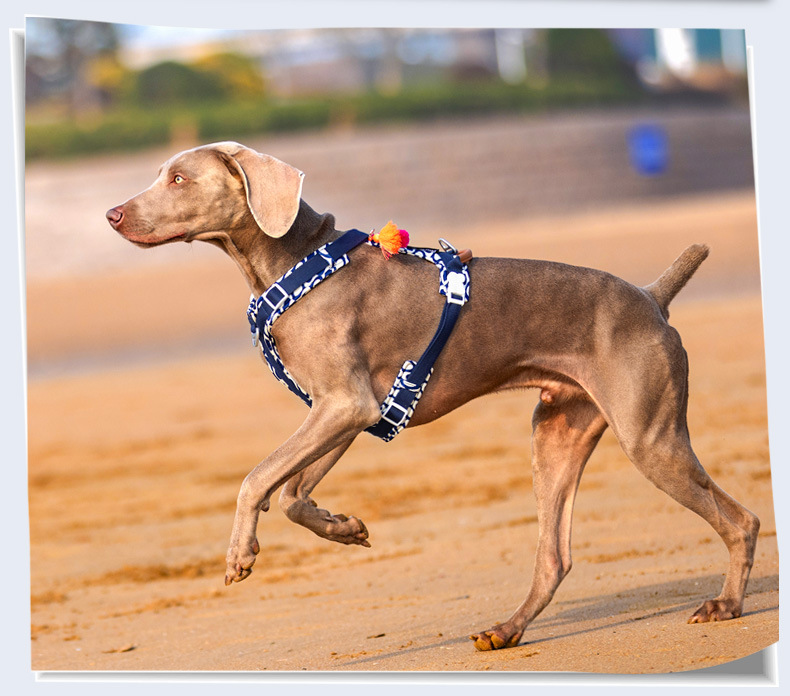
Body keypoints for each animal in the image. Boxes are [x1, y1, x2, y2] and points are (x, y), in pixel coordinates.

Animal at [106, 141, 759, 651]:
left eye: (178, 178)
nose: (112, 214)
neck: (296, 263)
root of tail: (652, 297)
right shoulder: (345, 409)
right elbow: (289, 493)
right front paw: (344, 528)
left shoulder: (347, 405)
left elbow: (255, 478)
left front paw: (240, 554)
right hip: (558, 430)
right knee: (555, 555)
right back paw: (506, 630)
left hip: (649, 438)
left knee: (741, 519)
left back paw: (725, 605)